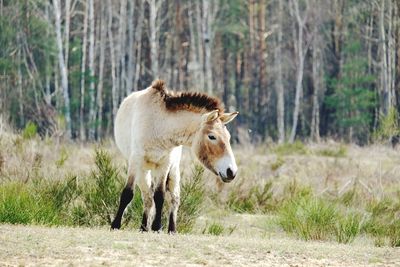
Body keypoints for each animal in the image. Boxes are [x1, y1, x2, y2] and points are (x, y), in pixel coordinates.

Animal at [111, 79, 239, 232]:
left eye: (228, 136)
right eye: (212, 136)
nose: (231, 171)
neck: (158, 125)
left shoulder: (164, 164)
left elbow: (159, 195)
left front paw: (157, 227)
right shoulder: (136, 161)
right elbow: (128, 193)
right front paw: (115, 225)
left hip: (173, 170)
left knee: (173, 198)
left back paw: (171, 229)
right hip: (144, 170)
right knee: (147, 197)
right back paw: (143, 228)